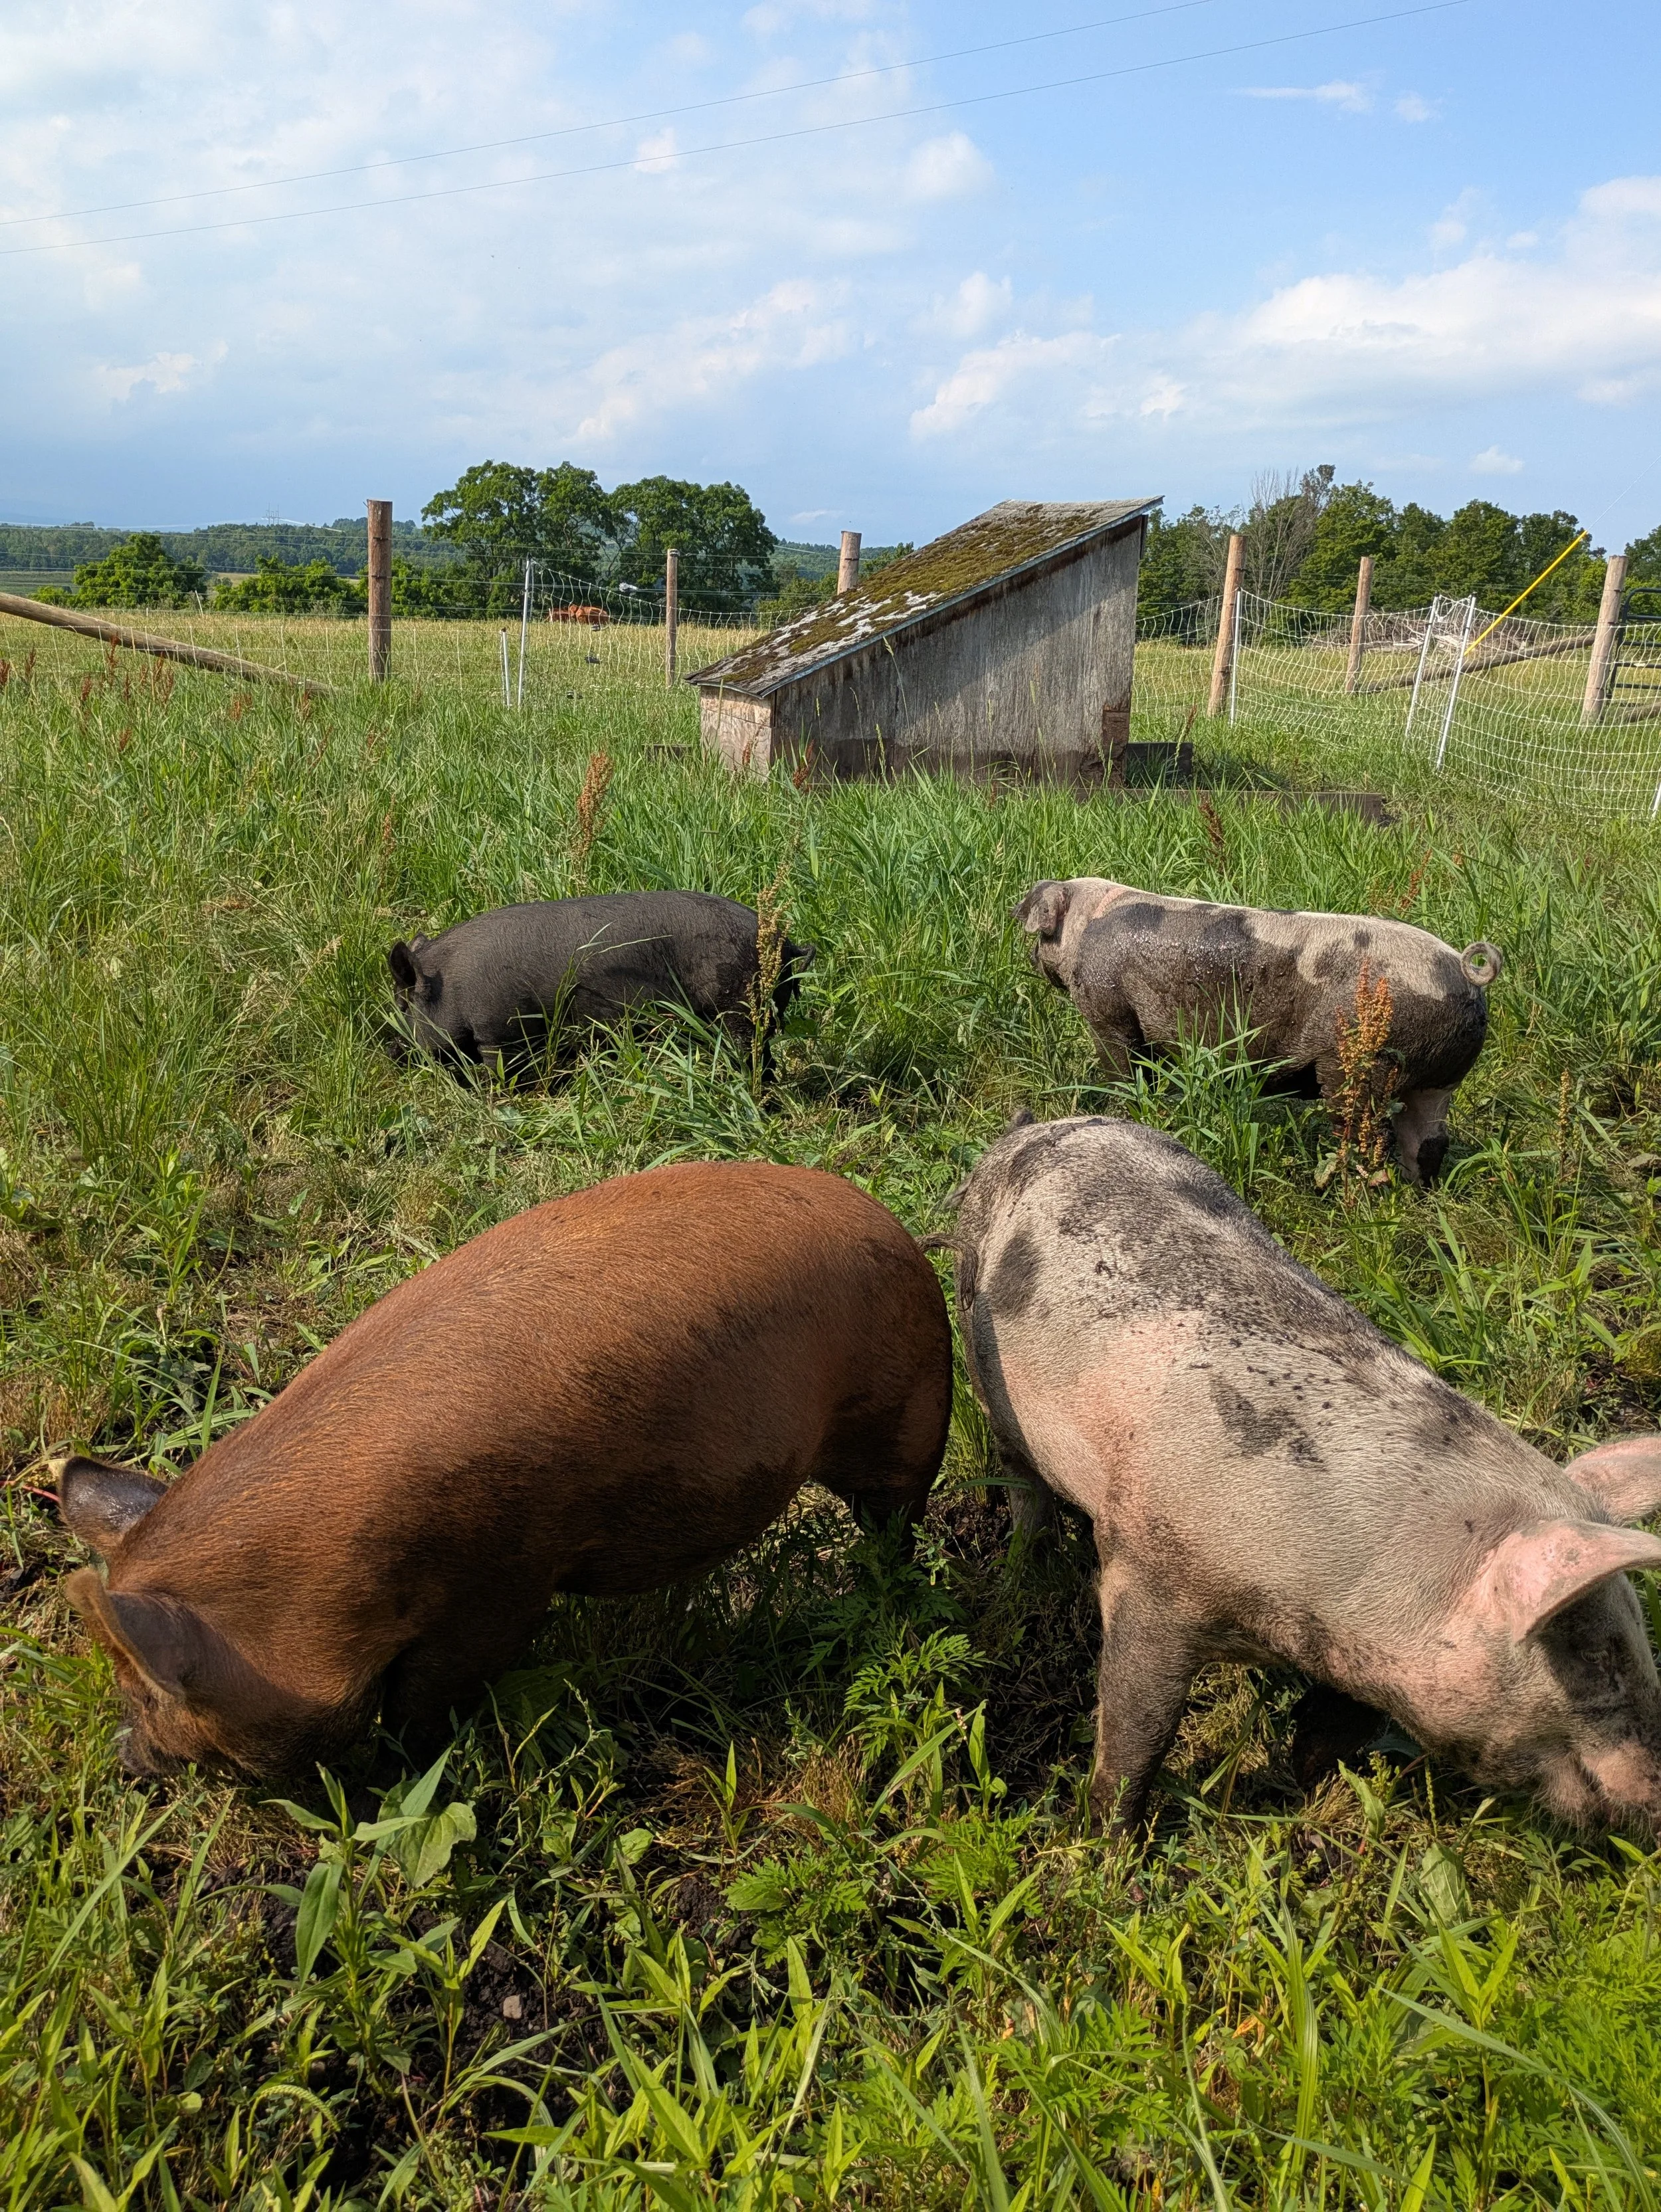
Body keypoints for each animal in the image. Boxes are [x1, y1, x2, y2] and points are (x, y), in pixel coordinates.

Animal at [57, 1161, 951, 1780]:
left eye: (147, 1690)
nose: (125, 1758)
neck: (318, 1579)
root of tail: (901, 1231)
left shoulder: (499, 1583)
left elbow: (425, 1702)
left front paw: (399, 1775)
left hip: (904, 1414)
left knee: (898, 1520)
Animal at [388, 890, 816, 1078]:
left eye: (404, 1006)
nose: (390, 1051)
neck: (452, 986)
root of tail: (786, 944)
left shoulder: (500, 1031)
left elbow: (500, 1072)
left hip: (739, 1006)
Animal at [948, 1112, 1661, 1832]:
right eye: (1598, 1658)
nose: (1657, 1798)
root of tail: (1031, 1128)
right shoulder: (1147, 1572)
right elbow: (1137, 1726)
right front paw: (1107, 1838)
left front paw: (1309, 1781)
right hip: (978, 1342)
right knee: (1019, 1479)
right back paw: (1025, 1566)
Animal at [1013, 878, 1502, 1185]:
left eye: (1038, 935)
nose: (1033, 957)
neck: (1085, 925)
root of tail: (1462, 971)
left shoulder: (1108, 1010)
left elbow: (1121, 1067)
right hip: (1441, 1077)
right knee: (1430, 1141)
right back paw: (1418, 1193)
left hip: (1362, 1060)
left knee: (1366, 1133)